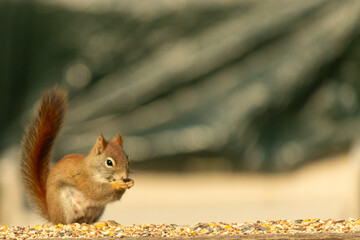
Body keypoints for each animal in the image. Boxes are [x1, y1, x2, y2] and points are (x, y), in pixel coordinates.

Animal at [19, 88, 134, 225]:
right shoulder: (84, 178)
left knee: (87, 222)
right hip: (63, 204)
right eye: (109, 163)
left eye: (128, 159)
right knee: (68, 222)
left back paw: (100, 222)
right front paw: (118, 185)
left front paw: (130, 182)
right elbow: (97, 192)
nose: (124, 176)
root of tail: (52, 216)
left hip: (96, 209)